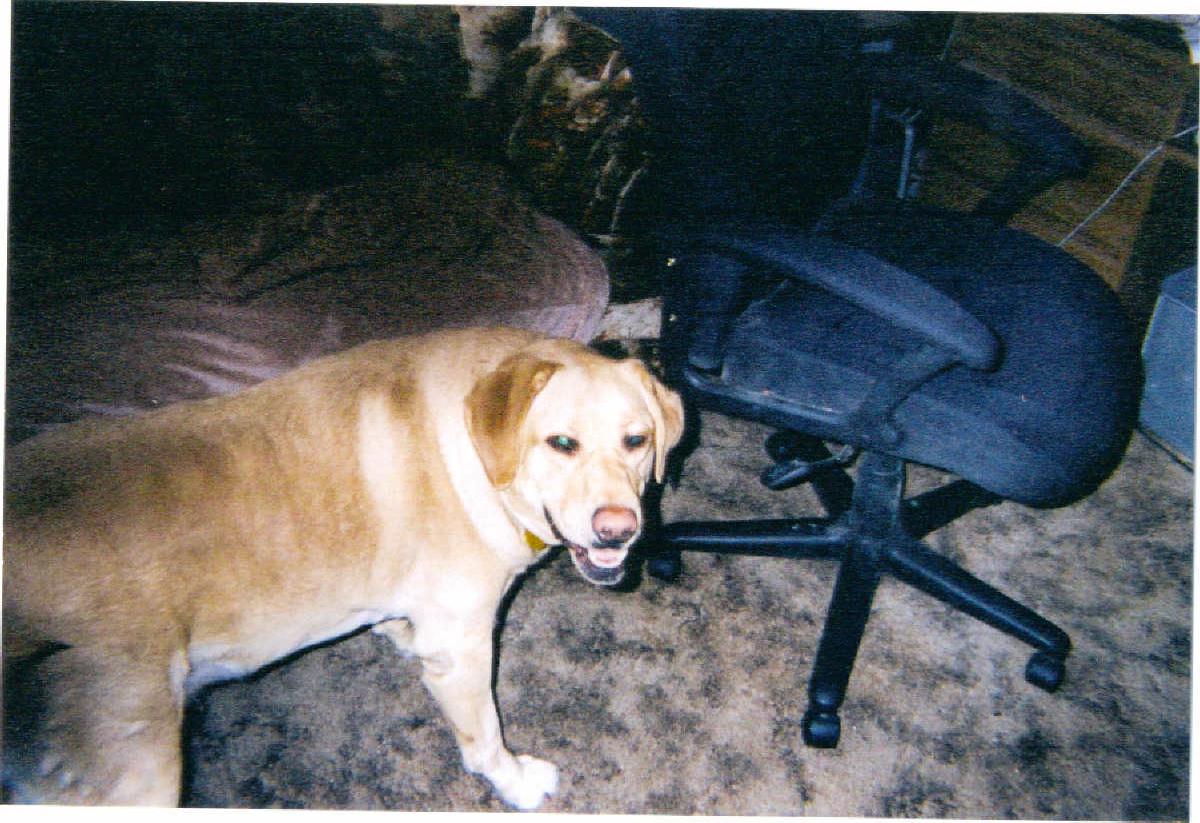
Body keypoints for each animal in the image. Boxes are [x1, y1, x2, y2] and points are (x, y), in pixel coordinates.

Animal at [2, 328, 686, 811]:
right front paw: (516, 783)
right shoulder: (463, 648)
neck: (472, 449)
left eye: (637, 441)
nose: (620, 530)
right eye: (561, 444)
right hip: (139, 765)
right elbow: (487, 737)